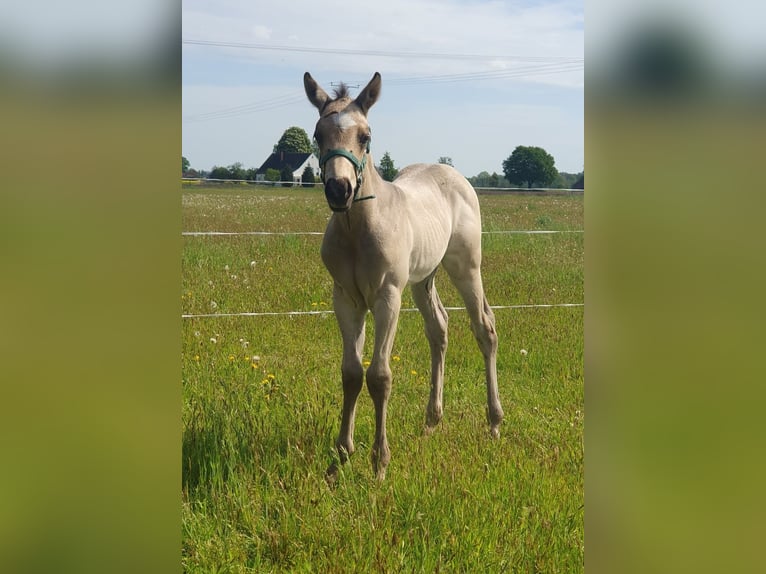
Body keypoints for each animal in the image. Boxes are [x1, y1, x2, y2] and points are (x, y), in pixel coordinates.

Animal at [304, 71, 504, 480]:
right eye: (317, 134)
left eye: (365, 135)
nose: (339, 189)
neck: (358, 229)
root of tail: (452, 172)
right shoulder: (345, 298)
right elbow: (351, 373)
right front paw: (340, 457)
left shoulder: (387, 297)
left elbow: (379, 376)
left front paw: (379, 462)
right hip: (423, 279)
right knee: (439, 328)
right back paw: (431, 422)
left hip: (465, 267)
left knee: (484, 328)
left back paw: (493, 422)